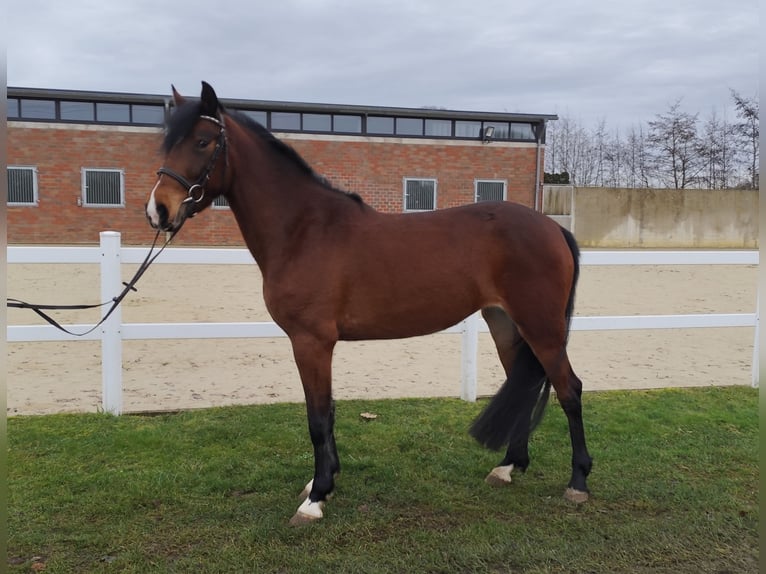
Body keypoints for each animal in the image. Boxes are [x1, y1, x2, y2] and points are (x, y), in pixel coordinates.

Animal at [147, 82, 596, 528]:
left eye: (203, 141)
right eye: (167, 144)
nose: (158, 210)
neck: (304, 231)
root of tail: (552, 227)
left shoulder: (311, 342)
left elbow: (317, 417)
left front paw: (316, 498)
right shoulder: (315, 345)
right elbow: (327, 413)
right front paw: (322, 483)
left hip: (541, 327)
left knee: (569, 389)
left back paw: (577, 482)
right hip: (506, 324)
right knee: (527, 384)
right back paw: (508, 466)